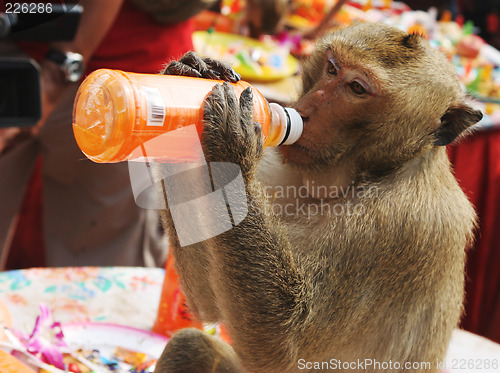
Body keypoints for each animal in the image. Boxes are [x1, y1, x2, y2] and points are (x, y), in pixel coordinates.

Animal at [154, 21, 482, 372]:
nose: (307, 111)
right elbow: (208, 301)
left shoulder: (405, 224)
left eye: (357, 88)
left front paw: (233, 142)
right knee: (191, 344)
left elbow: (281, 344)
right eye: (332, 68)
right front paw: (192, 74)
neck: (357, 176)